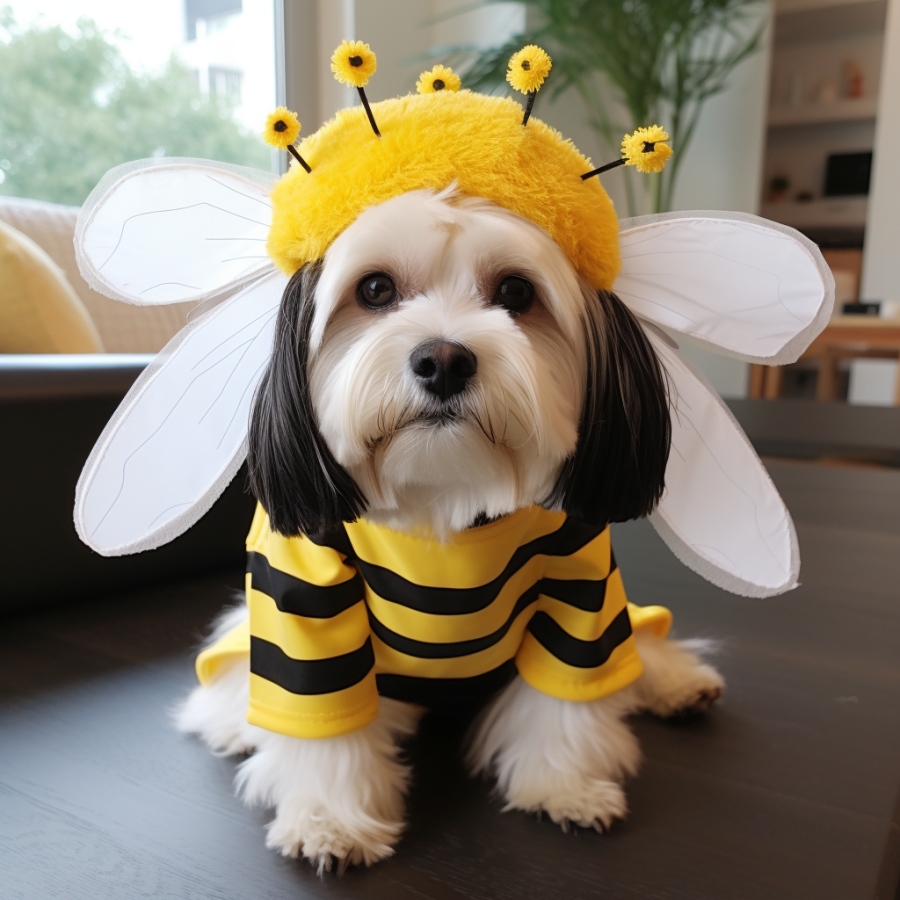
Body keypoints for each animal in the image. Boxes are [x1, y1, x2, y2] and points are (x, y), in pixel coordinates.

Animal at [174, 188, 724, 872]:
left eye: (516, 292)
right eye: (375, 289)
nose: (442, 360)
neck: (443, 498)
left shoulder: (582, 581)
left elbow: (565, 695)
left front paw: (562, 784)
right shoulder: (303, 592)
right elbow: (325, 712)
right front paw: (331, 818)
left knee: (639, 644)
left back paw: (677, 683)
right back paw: (233, 724)